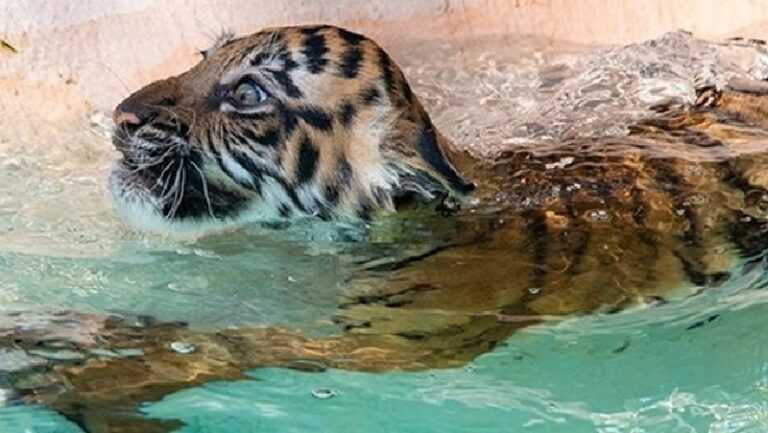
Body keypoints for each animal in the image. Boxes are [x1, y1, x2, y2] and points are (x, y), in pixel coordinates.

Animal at [4, 24, 768, 432]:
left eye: (247, 92)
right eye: (200, 60)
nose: (121, 117)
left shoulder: (394, 341)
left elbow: (229, 342)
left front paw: (74, 367)